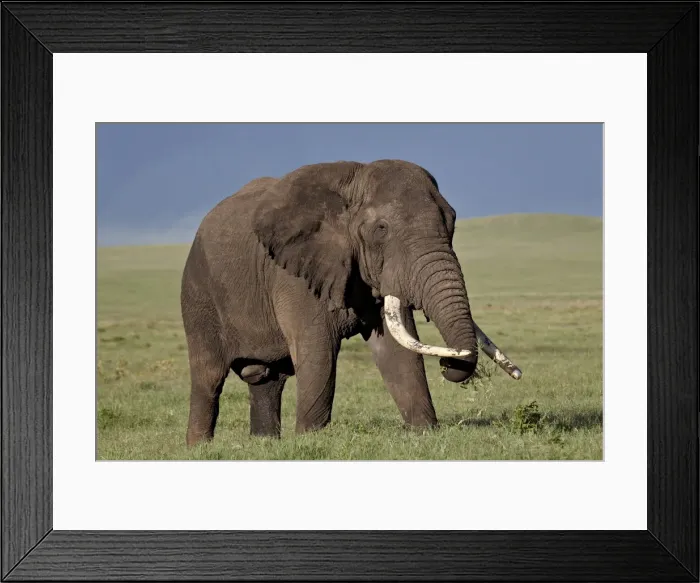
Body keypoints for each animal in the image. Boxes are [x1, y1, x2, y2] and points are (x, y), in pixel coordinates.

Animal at [181, 159, 520, 446]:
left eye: (451, 222)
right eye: (381, 229)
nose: (448, 364)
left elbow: (397, 353)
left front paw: (424, 433)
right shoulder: (295, 273)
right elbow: (318, 353)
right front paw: (310, 441)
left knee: (268, 380)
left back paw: (265, 445)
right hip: (198, 293)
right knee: (208, 376)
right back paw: (200, 448)